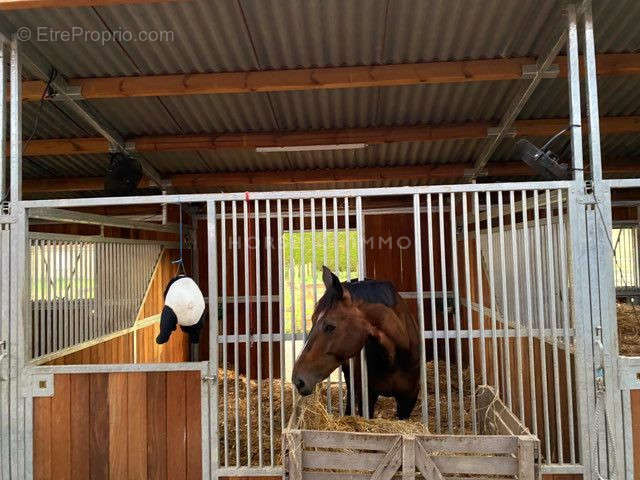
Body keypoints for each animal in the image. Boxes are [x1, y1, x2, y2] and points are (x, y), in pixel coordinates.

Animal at [292, 266, 430, 420]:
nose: (298, 380)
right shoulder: (367, 397)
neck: (395, 359)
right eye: (313, 319)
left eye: (330, 326)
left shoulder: (408, 399)